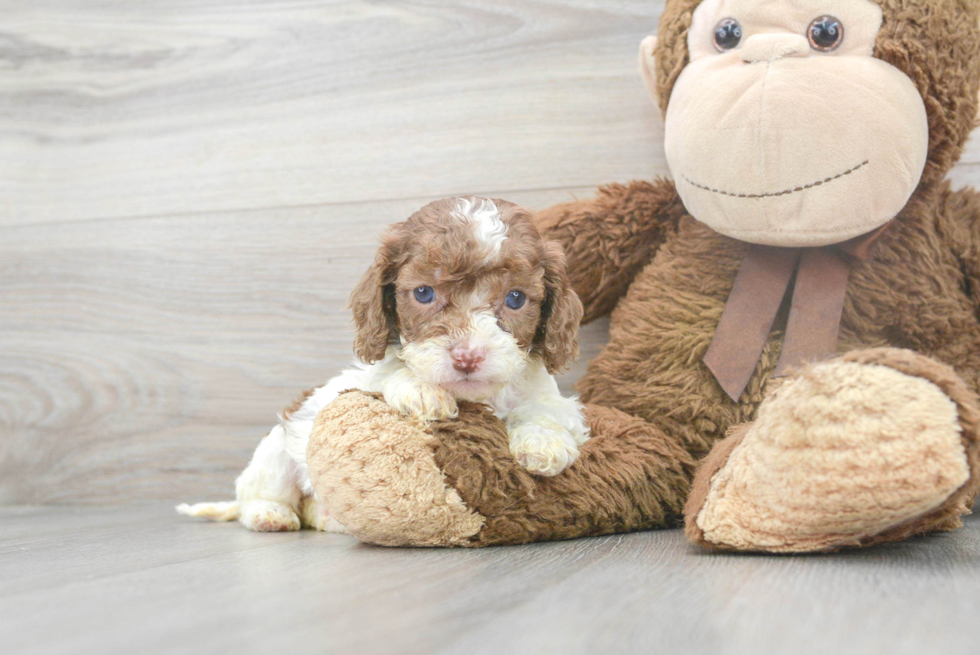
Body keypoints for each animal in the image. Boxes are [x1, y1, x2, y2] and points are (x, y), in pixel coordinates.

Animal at [176, 196, 584, 532]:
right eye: (424, 293)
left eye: (515, 298)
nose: (467, 356)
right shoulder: (358, 385)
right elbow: (389, 373)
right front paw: (423, 391)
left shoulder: (549, 395)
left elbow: (546, 410)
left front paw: (543, 442)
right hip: (276, 449)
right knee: (258, 494)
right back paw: (270, 514)